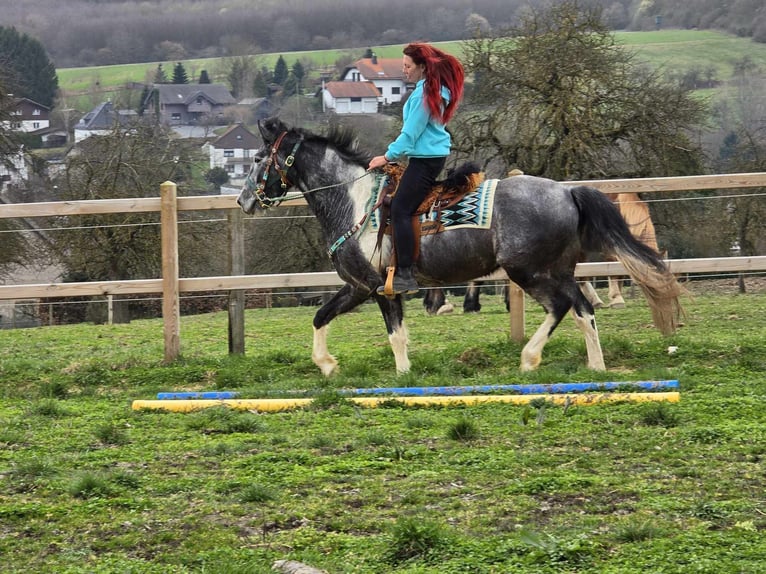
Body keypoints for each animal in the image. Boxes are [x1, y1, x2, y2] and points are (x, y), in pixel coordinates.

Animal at [237, 117, 684, 375]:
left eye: (258, 158)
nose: (243, 201)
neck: (353, 200)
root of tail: (567, 191)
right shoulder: (358, 286)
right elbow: (321, 317)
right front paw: (328, 365)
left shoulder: (376, 286)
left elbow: (394, 334)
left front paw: (402, 375)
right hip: (557, 270)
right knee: (583, 309)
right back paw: (596, 366)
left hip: (529, 271)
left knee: (561, 307)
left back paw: (530, 359)